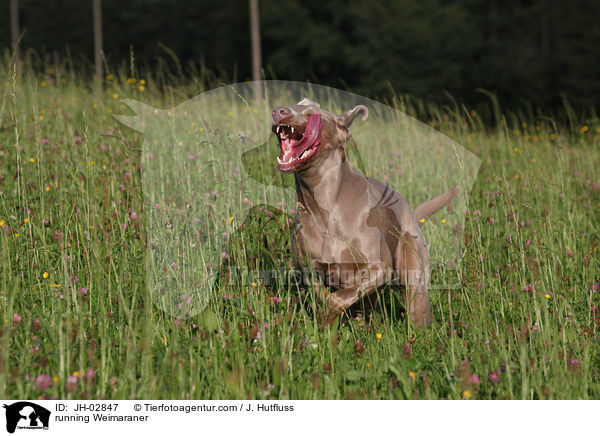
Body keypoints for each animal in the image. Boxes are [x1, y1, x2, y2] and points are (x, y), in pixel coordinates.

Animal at [274, 97, 458, 326]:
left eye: (311, 113)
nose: (278, 111)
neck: (324, 204)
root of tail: (411, 213)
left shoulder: (380, 268)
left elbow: (338, 298)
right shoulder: (308, 269)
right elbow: (324, 296)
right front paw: (327, 325)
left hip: (414, 278)